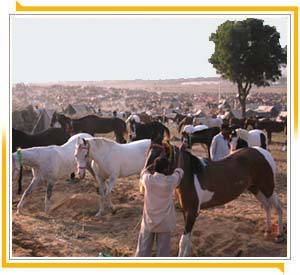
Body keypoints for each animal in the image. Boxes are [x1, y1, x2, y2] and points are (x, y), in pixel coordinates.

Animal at [145, 141, 286, 258]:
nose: (145, 178)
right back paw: (268, 230)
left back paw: (279, 235)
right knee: (267, 206)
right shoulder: (186, 212)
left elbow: (183, 240)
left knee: (278, 207)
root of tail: (263, 152)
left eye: (159, 159)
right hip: (255, 188)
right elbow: (189, 238)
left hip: (268, 187)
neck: (190, 175)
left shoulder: (192, 212)